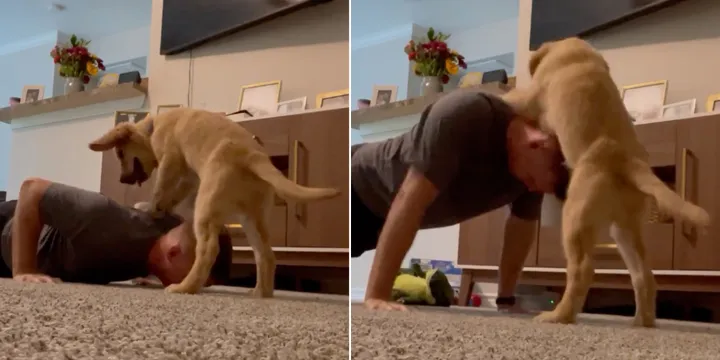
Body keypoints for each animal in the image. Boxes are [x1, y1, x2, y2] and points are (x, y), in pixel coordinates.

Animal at [87, 108, 340, 296]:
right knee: (265, 255)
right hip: (252, 219)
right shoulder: (188, 177)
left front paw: (151, 208)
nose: (121, 179)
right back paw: (261, 292)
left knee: (208, 250)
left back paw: (185, 287)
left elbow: (160, 191)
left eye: (120, 154)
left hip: (206, 209)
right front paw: (161, 207)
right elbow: (172, 195)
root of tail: (252, 156)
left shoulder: (170, 162)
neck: (154, 127)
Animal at [500, 38, 708, 328]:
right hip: (625, 229)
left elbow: (510, 97)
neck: (576, 52)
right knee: (643, 275)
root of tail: (626, 162)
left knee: (582, 270)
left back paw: (558, 316)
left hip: (575, 218)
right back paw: (642, 322)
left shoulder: (530, 97)